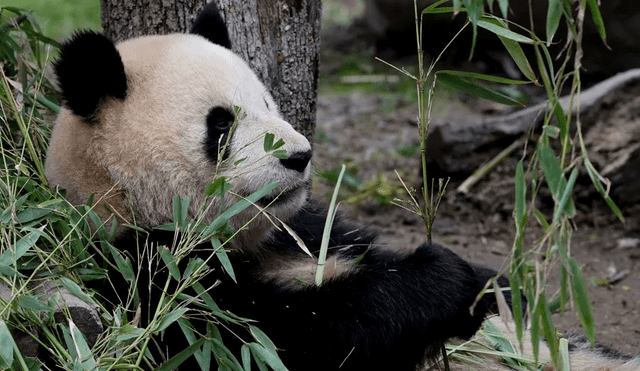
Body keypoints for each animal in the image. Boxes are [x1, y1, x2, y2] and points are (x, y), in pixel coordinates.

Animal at [43, 2, 636, 371]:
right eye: (221, 125)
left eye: (267, 102)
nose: (300, 156)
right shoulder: (146, 276)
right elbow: (290, 338)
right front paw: (446, 279)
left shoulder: (306, 231)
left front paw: (496, 283)